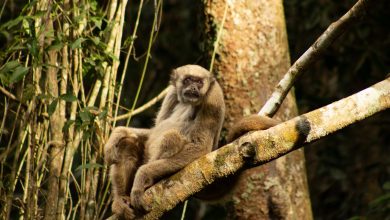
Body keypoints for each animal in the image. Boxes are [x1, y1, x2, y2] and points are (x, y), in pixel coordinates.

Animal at [103, 64, 225, 218]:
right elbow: (155, 128)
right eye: (188, 80)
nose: (193, 88)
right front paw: (119, 132)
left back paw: (149, 182)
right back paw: (120, 200)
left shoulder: (213, 98)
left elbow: (200, 147)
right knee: (127, 146)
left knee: (171, 137)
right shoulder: (172, 93)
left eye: (199, 82)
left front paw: (144, 174)